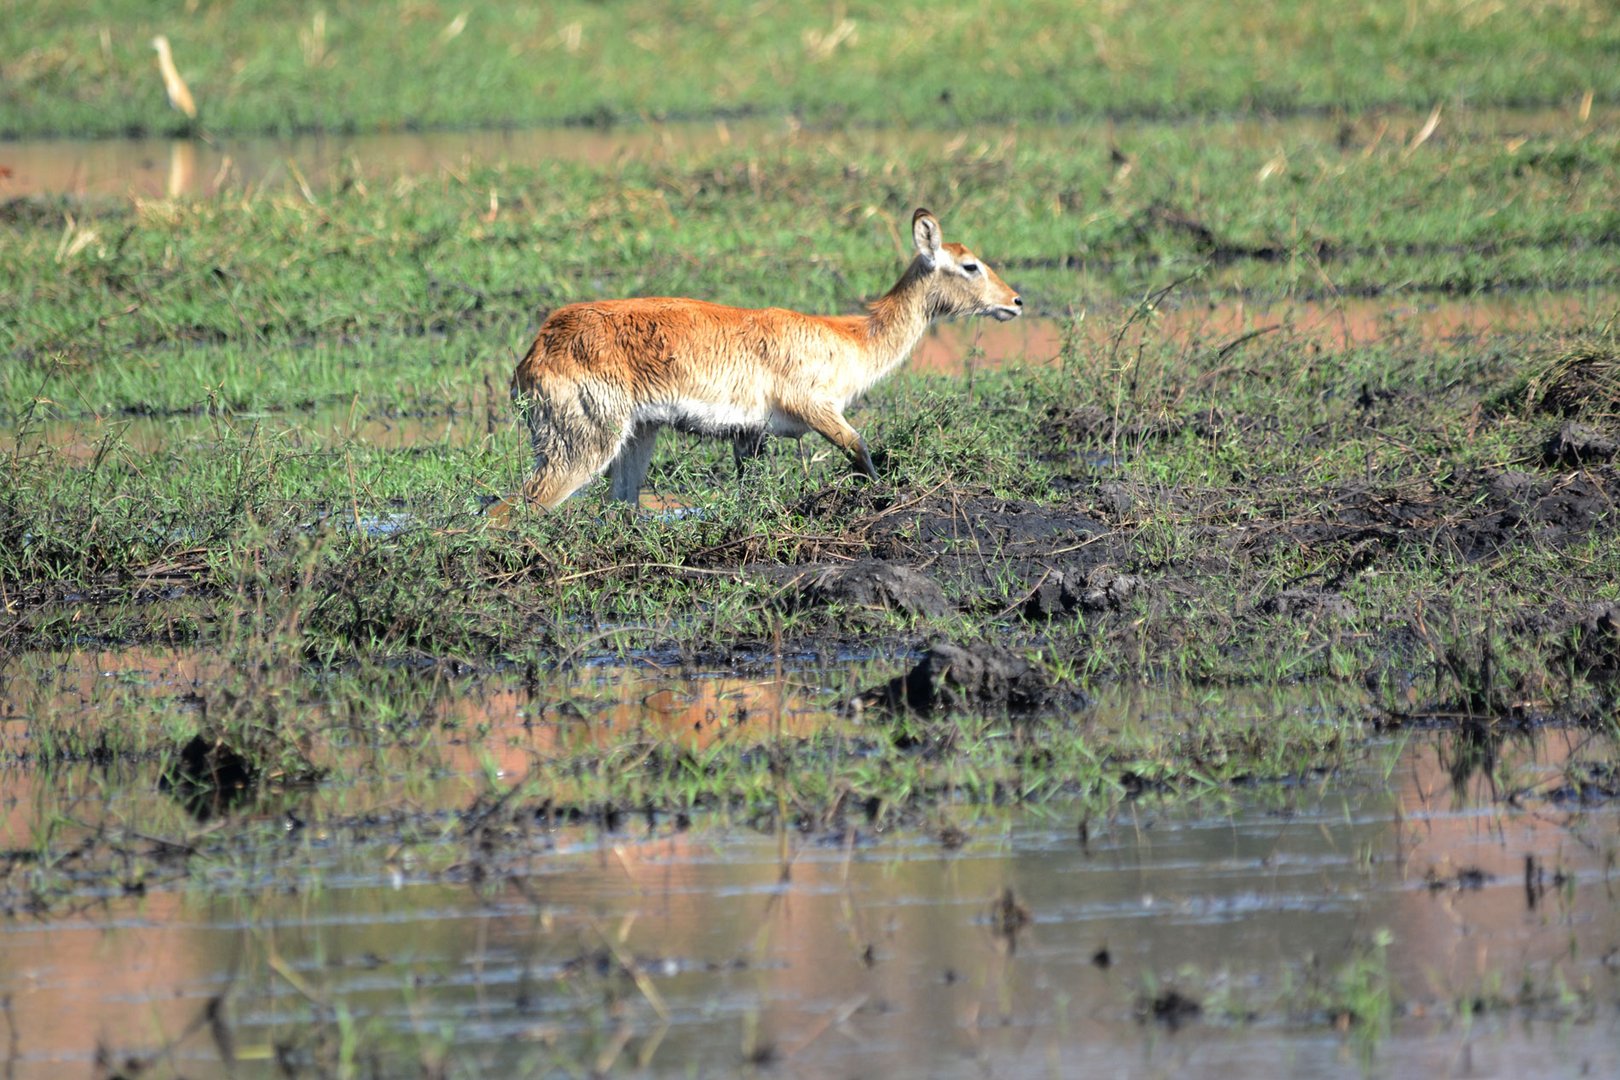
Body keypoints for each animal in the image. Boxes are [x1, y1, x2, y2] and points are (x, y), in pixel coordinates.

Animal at [505, 208, 1017, 511]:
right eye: (970, 265)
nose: (1015, 301)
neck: (850, 338)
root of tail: (533, 355)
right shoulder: (818, 409)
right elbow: (862, 452)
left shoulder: (747, 435)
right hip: (583, 448)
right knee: (519, 507)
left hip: (635, 439)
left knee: (618, 507)